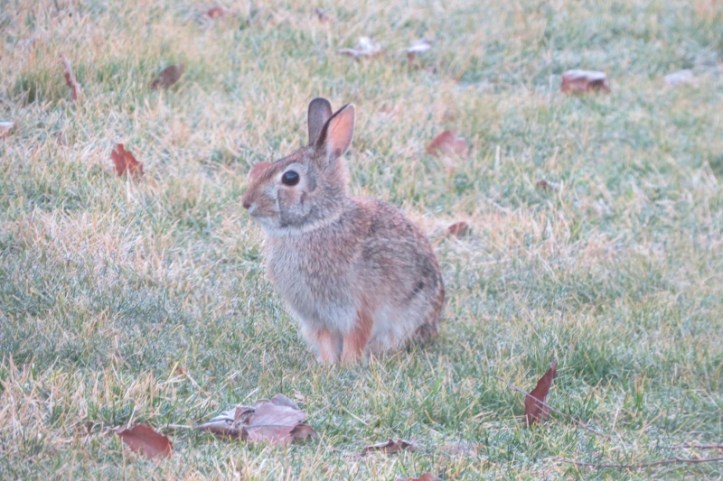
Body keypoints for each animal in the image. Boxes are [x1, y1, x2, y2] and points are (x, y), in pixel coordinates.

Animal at [241, 98, 445, 364]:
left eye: (290, 178)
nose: (247, 203)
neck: (316, 224)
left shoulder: (358, 309)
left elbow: (356, 337)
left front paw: (347, 364)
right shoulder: (316, 317)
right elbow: (326, 341)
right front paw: (327, 365)